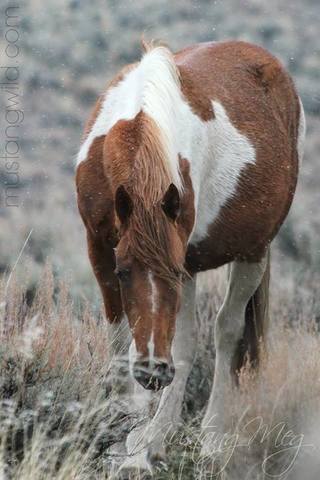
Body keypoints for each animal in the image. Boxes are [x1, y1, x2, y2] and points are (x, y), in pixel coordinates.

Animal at [75, 40, 304, 476]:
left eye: (170, 271)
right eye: (122, 271)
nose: (152, 373)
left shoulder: (184, 262)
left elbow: (184, 344)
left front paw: (137, 447)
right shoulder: (99, 248)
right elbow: (119, 341)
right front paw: (118, 439)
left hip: (252, 253)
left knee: (225, 332)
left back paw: (206, 440)